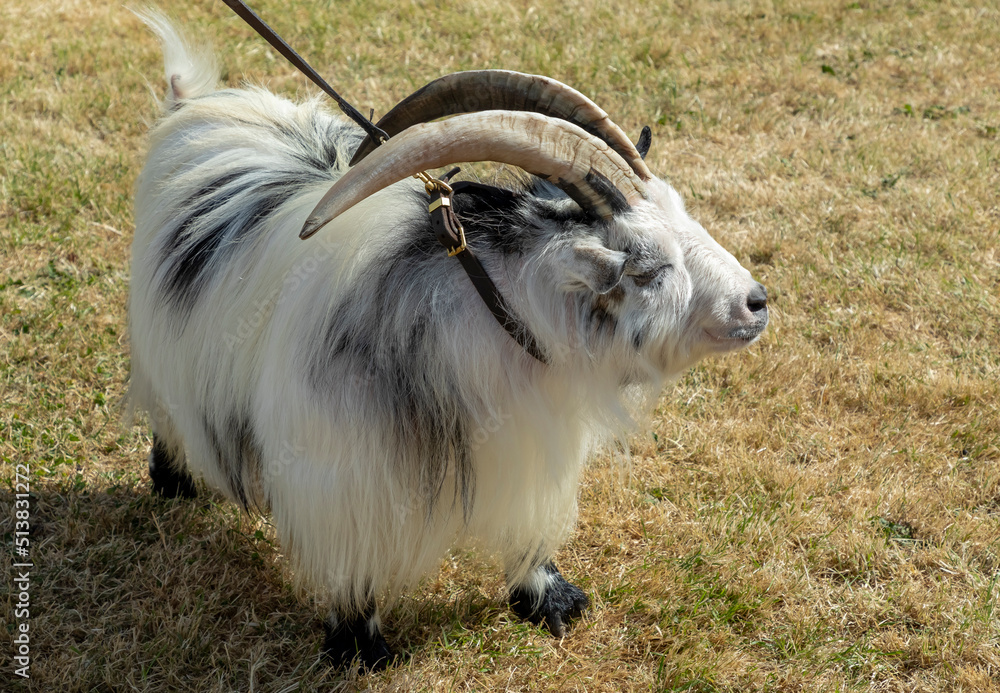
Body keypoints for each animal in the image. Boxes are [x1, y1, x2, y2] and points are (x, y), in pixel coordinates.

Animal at [129, 10, 769, 670]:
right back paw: (173, 480)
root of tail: (195, 103)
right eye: (647, 268)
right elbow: (350, 558)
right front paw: (360, 645)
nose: (756, 302)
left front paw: (548, 598)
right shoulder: (338, 470)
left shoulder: (531, 442)